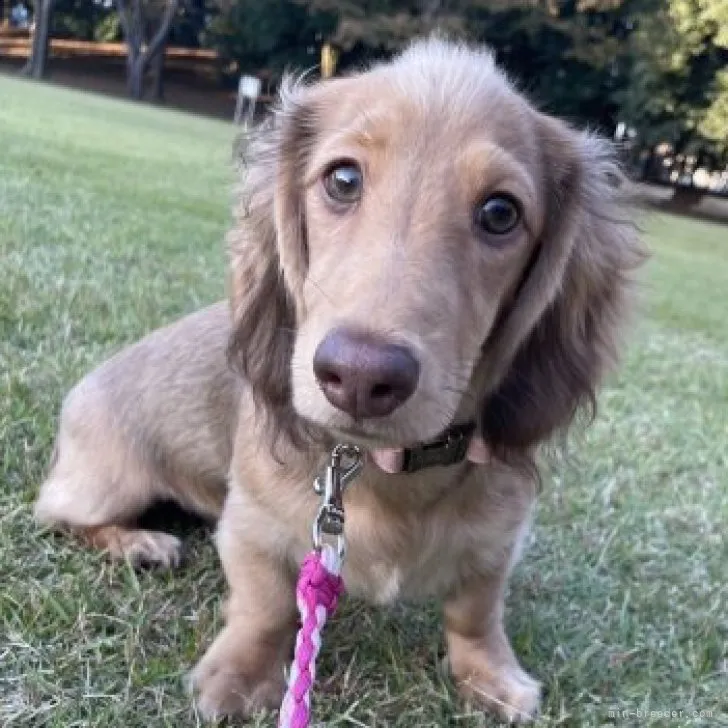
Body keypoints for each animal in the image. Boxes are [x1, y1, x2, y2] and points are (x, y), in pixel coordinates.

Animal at [37, 38, 644, 724]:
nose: (358, 376)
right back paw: (138, 541)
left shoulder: (497, 541)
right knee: (55, 514)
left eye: (500, 213)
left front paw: (492, 675)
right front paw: (239, 678)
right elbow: (266, 605)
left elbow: (476, 611)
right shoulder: (251, 527)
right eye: (343, 179)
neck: (387, 473)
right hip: (107, 483)